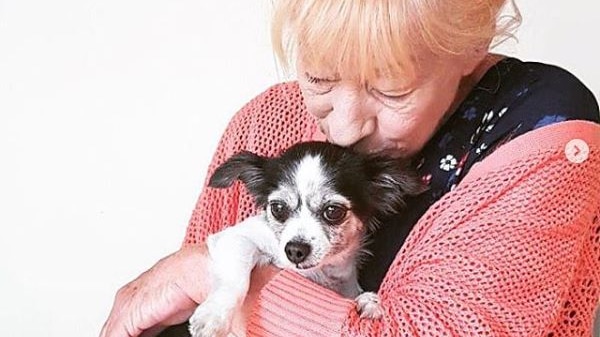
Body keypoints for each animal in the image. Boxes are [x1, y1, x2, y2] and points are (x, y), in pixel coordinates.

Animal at [188, 140, 422, 334]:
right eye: (277, 208)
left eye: (333, 211)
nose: (295, 250)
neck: (317, 272)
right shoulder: (236, 238)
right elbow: (234, 280)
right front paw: (213, 316)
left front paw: (367, 303)